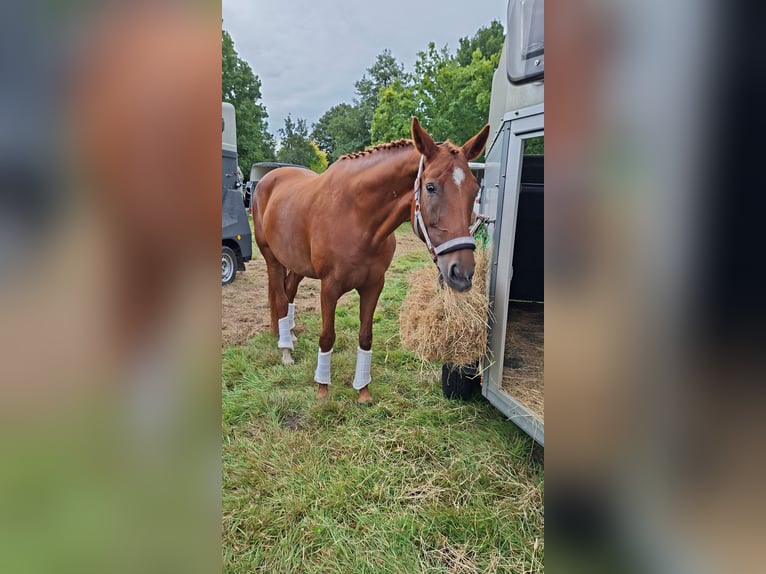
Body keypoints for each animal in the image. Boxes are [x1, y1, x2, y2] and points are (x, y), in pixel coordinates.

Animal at [252, 117, 490, 404]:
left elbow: (366, 337)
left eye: (474, 190)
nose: (462, 272)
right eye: (430, 187)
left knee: (288, 295)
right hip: (272, 259)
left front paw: (362, 390)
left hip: (297, 264)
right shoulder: (329, 287)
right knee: (278, 296)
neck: (356, 217)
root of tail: (267, 180)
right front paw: (323, 389)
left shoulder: (374, 285)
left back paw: (288, 336)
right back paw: (285, 349)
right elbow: (327, 337)